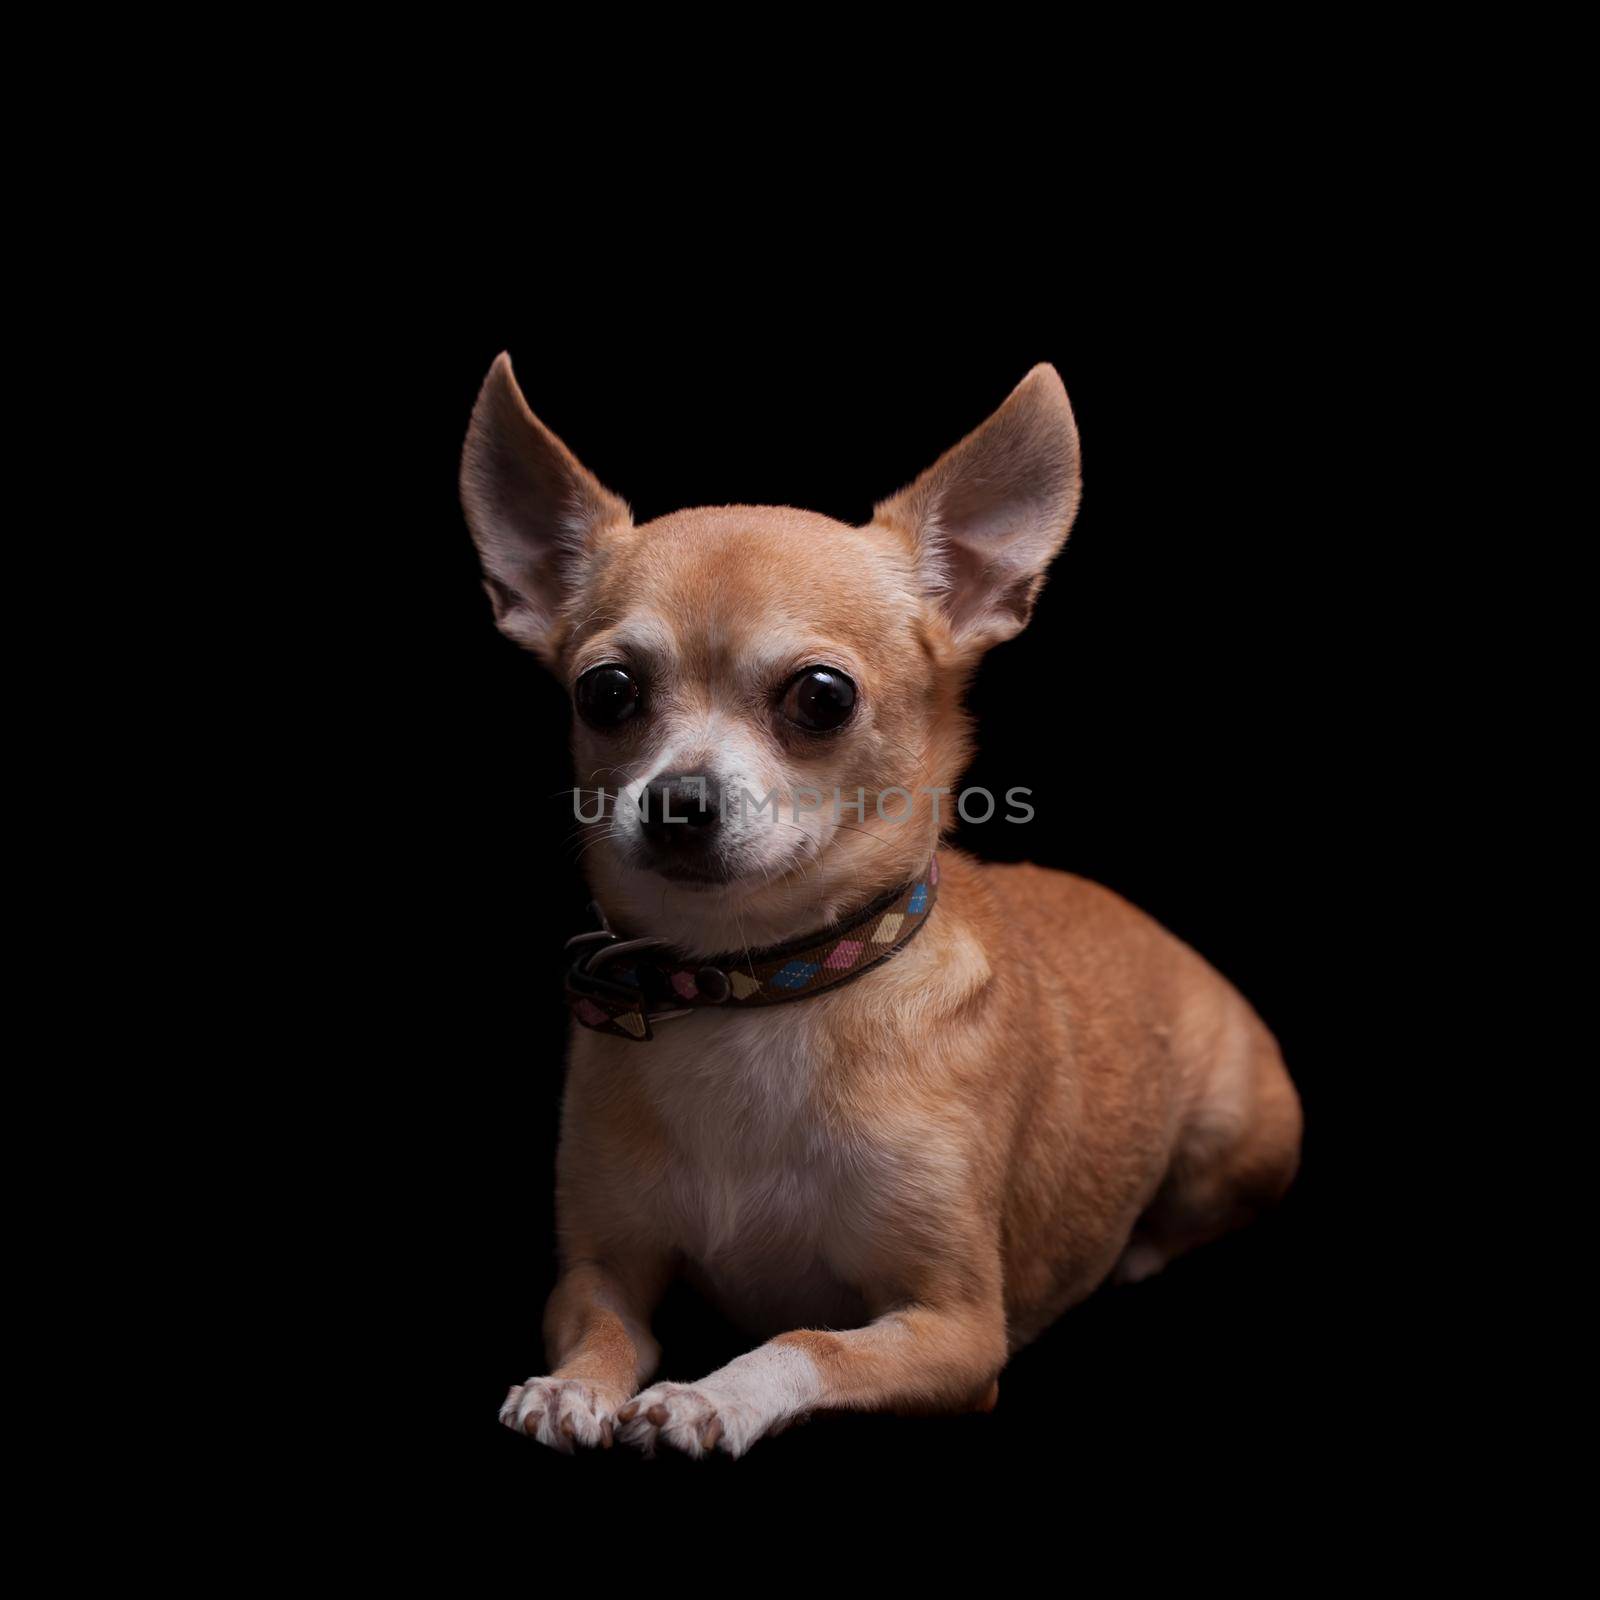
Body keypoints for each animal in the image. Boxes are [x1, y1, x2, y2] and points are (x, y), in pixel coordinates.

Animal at [454, 356, 1299, 1459]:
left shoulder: (957, 1328)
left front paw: (707, 1396)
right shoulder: (604, 1265)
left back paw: (1140, 1249)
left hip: (1239, 1136)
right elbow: (603, 1324)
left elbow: (808, 1340)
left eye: (821, 696)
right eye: (606, 693)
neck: (760, 986)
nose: (678, 801)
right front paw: (573, 1387)